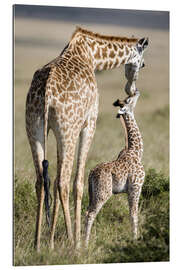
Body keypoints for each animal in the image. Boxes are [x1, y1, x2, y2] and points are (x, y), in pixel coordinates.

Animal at [84, 89, 145, 246]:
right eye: (129, 99)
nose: (137, 91)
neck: (136, 151)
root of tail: (91, 173)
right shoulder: (136, 186)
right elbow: (134, 214)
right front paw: (135, 239)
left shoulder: (130, 189)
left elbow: (131, 213)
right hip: (103, 192)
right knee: (90, 213)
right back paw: (84, 244)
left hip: (92, 193)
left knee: (87, 210)